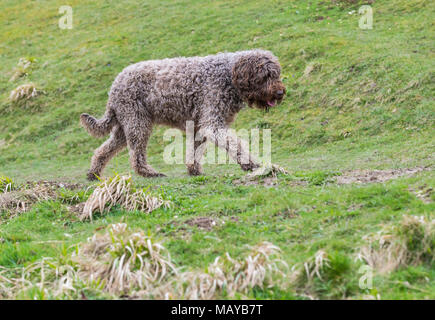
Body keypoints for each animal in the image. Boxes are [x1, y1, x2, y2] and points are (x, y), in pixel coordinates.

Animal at [81, 50, 286, 180]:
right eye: (265, 76)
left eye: (276, 74)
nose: (280, 93)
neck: (228, 76)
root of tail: (114, 86)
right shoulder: (213, 124)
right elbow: (236, 145)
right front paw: (252, 164)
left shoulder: (200, 127)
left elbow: (195, 151)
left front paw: (194, 170)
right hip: (137, 123)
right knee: (136, 155)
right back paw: (149, 173)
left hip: (125, 126)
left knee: (103, 150)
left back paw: (94, 173)